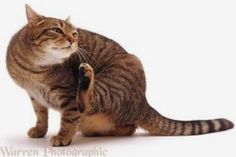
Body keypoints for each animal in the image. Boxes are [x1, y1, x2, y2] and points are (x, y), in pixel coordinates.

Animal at [6, 5, 233, 147]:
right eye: (56, 30)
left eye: (75, 33)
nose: (73, 40)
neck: (34, 69)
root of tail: (144, 103)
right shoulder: (34, 96)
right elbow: (40, 115)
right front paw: (39, 130)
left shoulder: (67, 95)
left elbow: (69, 119)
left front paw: (63, 137)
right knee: (129, 127)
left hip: (113, 81)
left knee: (89, 103)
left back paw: (86, 76)